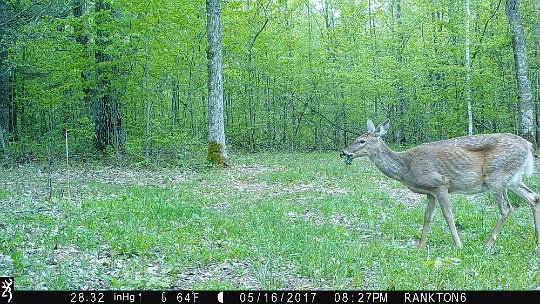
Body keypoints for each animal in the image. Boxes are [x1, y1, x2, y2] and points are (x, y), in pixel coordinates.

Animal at [340, 119, 540, 249]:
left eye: (361, 140)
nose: (343, 152)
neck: (407, 168)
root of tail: (529, 145)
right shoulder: (430, 192)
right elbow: (427, 217)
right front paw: (420, 246)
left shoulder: (441, 184)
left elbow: (448, 215)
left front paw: (459, 245)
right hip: (513, 179)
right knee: (534, 197)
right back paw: (536, 242)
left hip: (497, 176)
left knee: (506, 208)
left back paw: (488, 244)